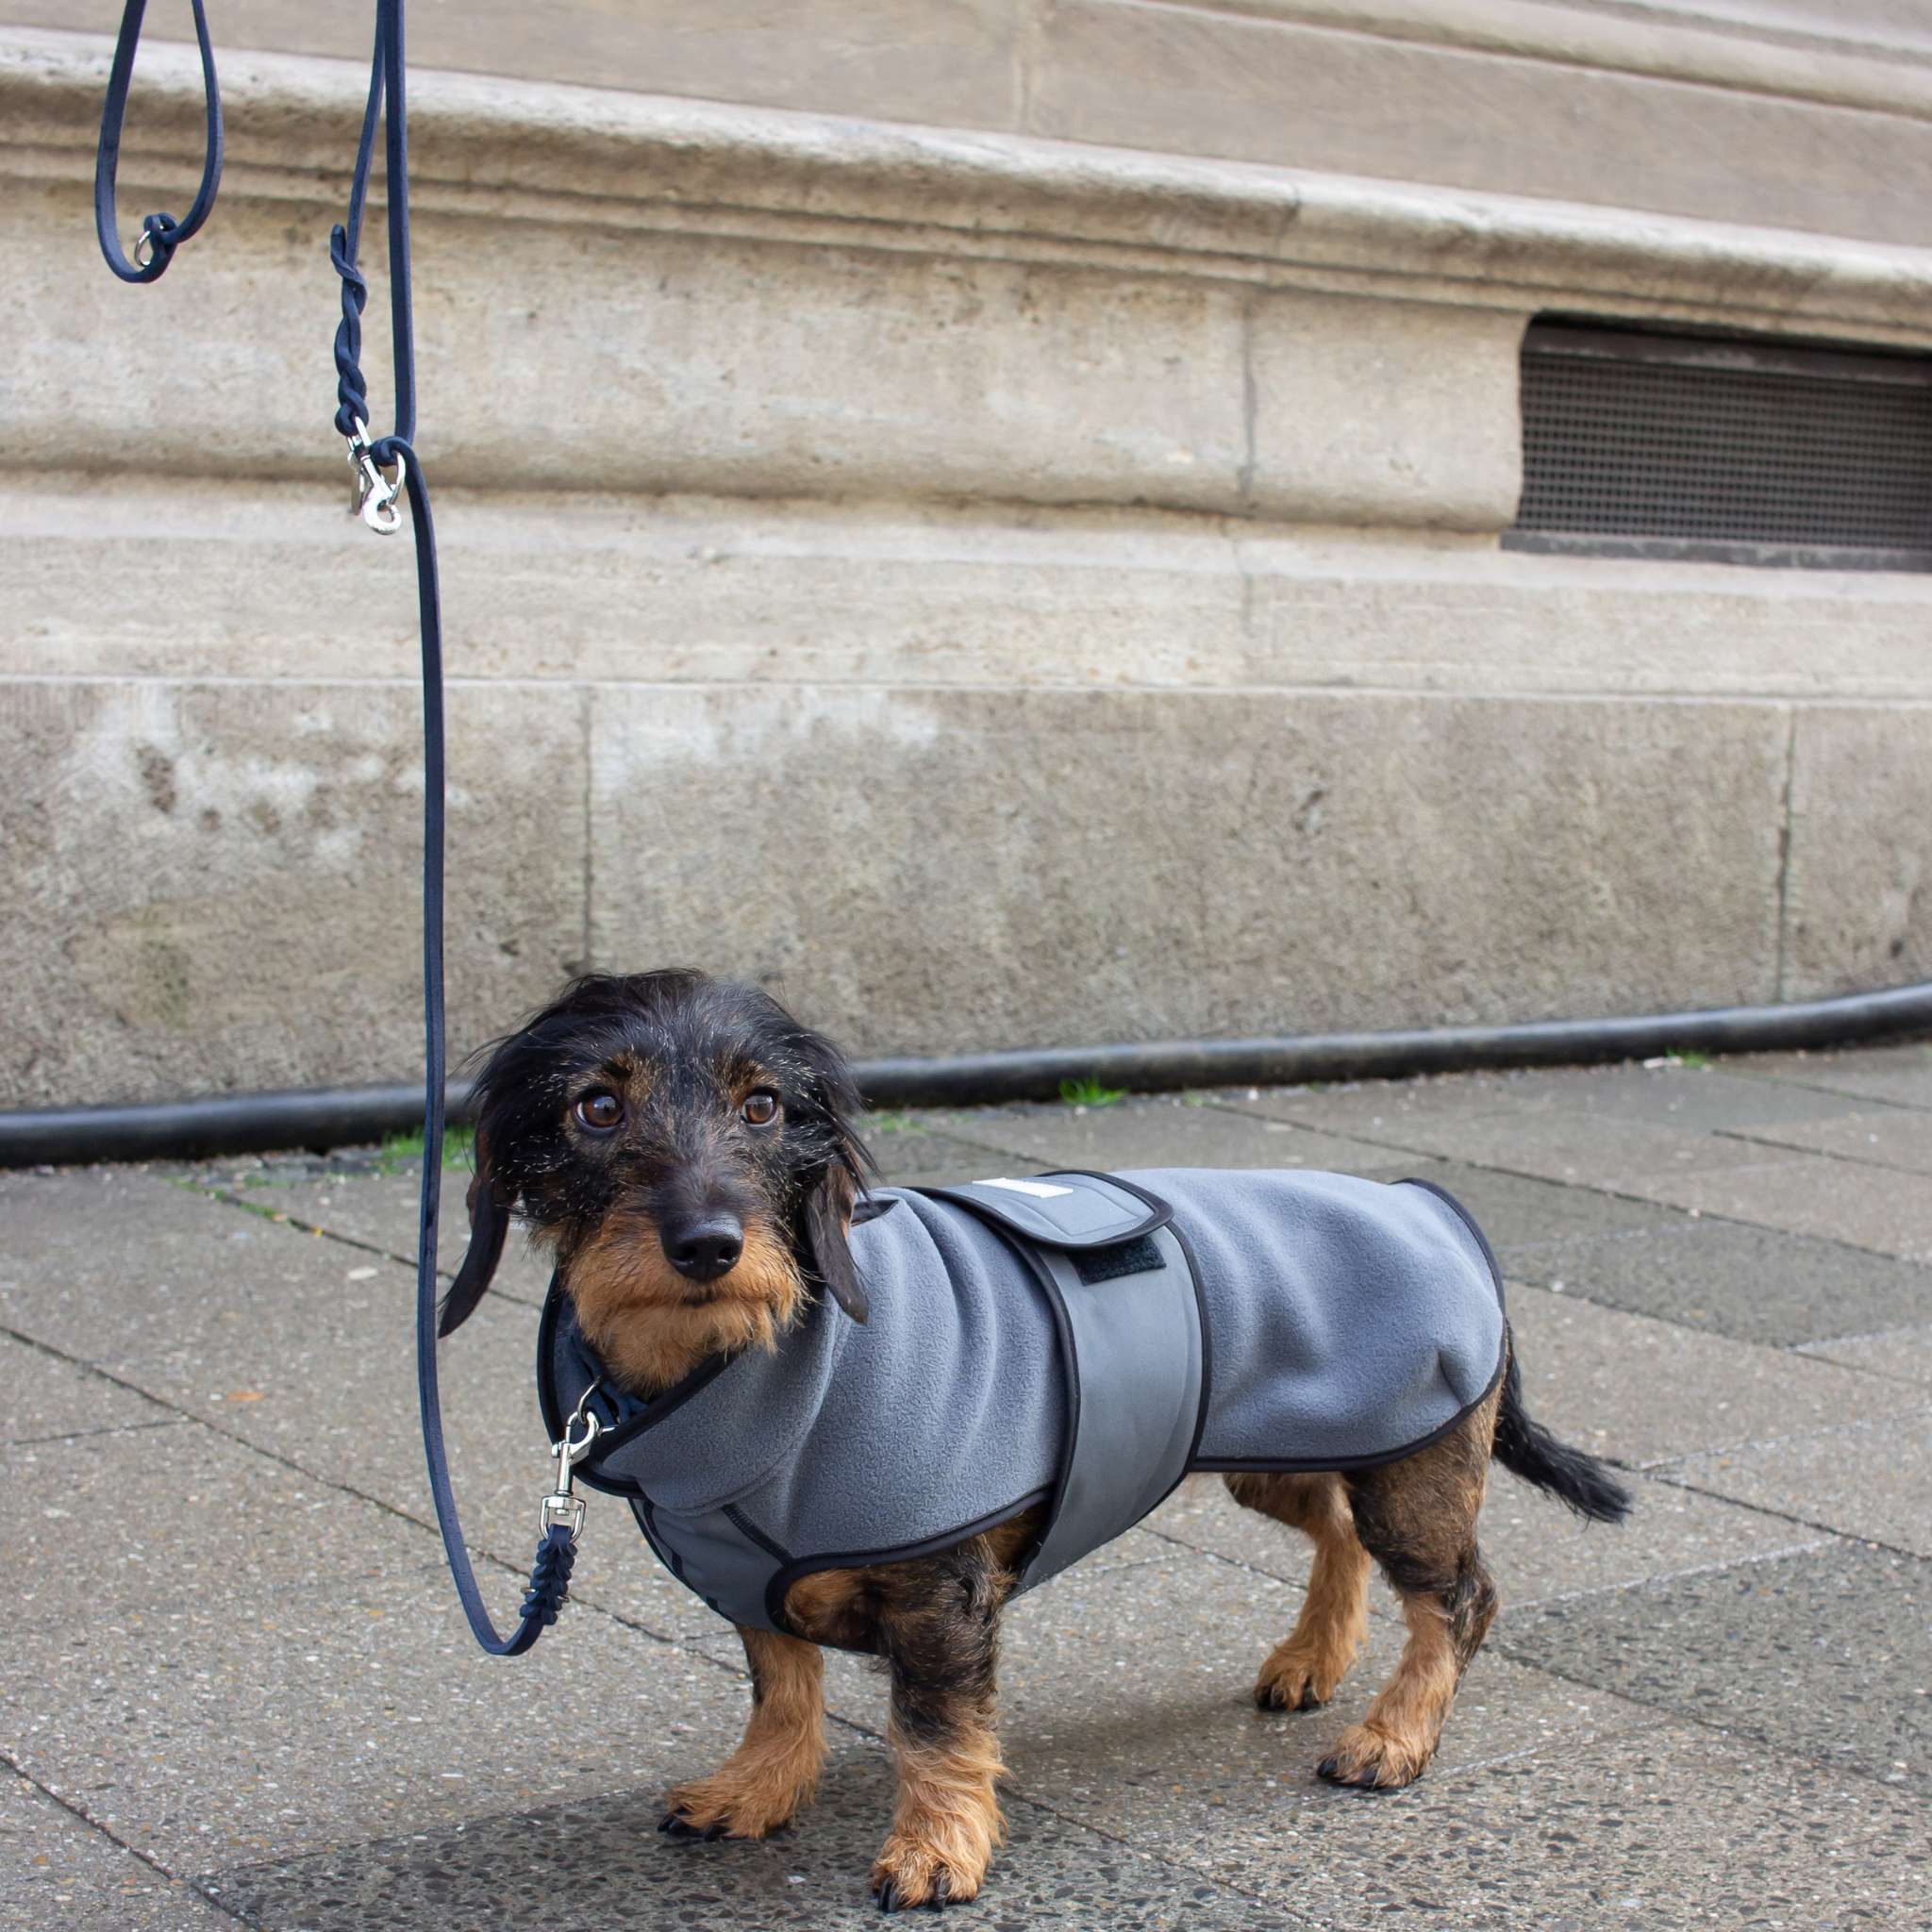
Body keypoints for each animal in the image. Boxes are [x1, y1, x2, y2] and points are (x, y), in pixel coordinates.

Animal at [448, 974, 1630, 1908]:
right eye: (596, 1105)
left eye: (763, 1103)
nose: (706, 1244)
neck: (754, 1368)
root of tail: (1428, 1203)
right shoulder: (754, 1583)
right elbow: (781, 1687)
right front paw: (756, 1787)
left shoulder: (943, 1597)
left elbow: (935, 1728)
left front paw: (935, 1849)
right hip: (1267, 1456)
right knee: (1336, 1528)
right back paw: (1309, 1658)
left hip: (1414, 1471)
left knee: (1459, 1597)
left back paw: (1394, 1736)